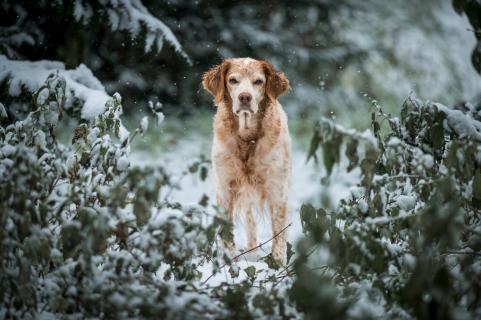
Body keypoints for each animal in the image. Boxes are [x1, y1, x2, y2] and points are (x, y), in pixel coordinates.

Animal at [202, 58, 288, 264]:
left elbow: (279, 237)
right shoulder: (224, 190)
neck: (247, 140)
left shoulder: (277, 192)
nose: (244, 97)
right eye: (233, 80)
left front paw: (277, 265)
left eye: (258, 81)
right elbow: (226, 234)